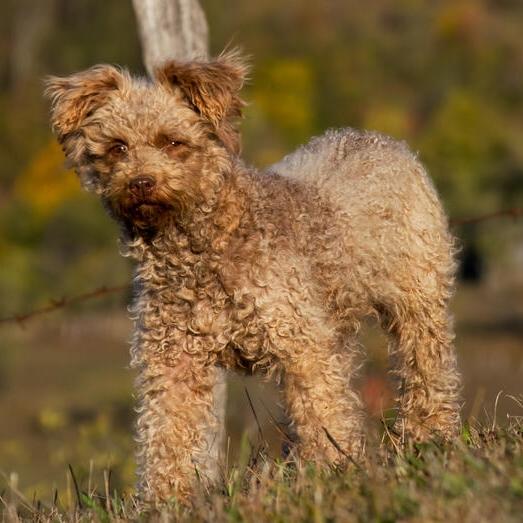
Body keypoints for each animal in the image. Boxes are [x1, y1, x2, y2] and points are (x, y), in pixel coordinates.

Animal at [46, 51, 462, 506]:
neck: (203, 250)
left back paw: (429, 437)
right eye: (117, 147)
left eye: (173, 142)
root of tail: (380, 139)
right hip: (336, 323)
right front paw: (166, 500)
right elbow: (166, 431)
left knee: (426, 369)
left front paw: (331, 476)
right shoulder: (171, 358)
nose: (140, 183)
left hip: (417, 301)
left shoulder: (301, 344)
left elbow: (323, 410)